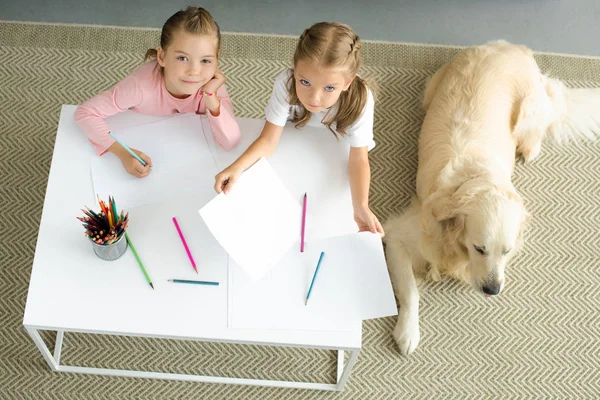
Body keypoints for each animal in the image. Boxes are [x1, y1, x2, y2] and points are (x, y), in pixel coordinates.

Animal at [382, 39, 600, 354]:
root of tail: (510, 46)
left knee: (540, 127)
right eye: (479, 248)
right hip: (431, 89)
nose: (492, 289)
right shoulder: (399, 235)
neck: (474, 179)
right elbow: (411, 291)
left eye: (507, 251)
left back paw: (530, 149)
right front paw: (408, 332)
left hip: (529, 111)